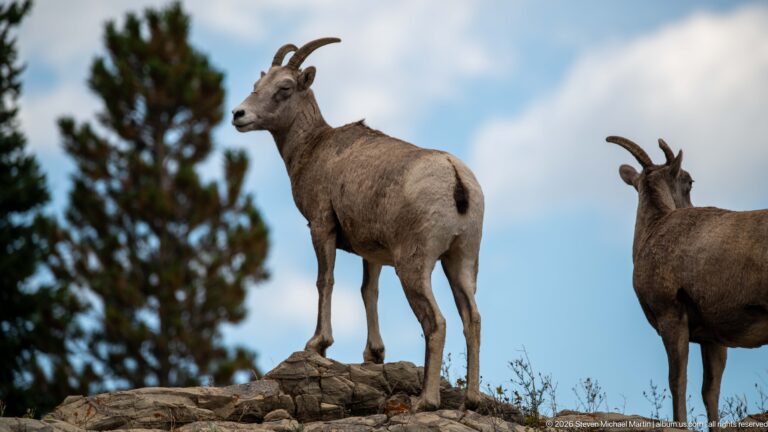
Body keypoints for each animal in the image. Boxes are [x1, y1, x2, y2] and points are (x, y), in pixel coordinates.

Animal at [231, 38, 485, 411]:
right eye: (257, 85)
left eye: (285, 88)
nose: (238, 115)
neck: (312, 148)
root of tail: (455, 177)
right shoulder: (373, 252)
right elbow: (369, 292)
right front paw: (374, 355)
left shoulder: (321, 226)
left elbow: (325, 281)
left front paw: (318, 344)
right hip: (461, 261)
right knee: (472, 319)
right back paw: (471, 400)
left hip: (414, 266)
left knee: (436, 322)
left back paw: (425, 401)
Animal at [609, 135, 768, 427]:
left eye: (689, 181)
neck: (654, 229)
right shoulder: (713, 339)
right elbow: (710, 391)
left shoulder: (672, 317)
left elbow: (677, 380)